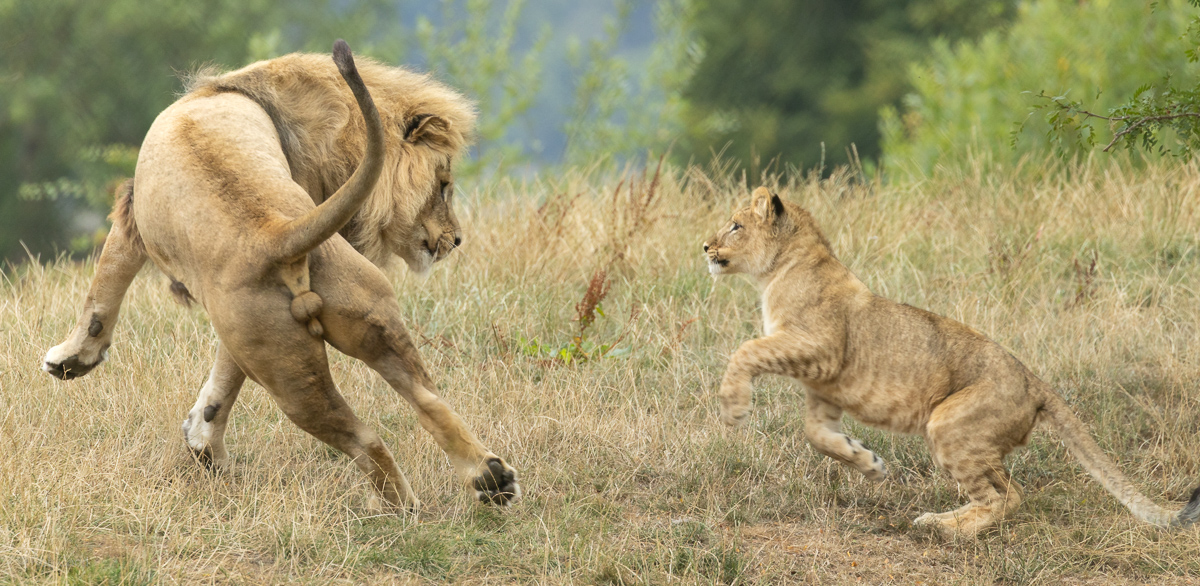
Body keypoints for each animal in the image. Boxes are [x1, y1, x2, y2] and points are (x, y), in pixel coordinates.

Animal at [41, 41, 520, 509]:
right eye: (443, 186)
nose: (457, 240)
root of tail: (276, 235)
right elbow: (225, 373)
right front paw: (203, 438)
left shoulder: (131, 214)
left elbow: (102, 293)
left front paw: (72, 360)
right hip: (357, 326)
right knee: (429, 402)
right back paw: (490, 478)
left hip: (289, 382)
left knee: (365, 439)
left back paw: (402, 506)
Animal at [703, 186, 1199, 536]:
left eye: (735, 226)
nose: (704, 247)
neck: (778, 271)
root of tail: (1035, 381)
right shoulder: (824, 389)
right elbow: (818, 436)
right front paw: (868, 463)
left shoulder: (822, 349)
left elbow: (746, 350)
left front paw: (733, 409)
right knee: (1009, 491)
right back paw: (942, 520)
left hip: (949, 424)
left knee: (1006, 496)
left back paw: (945, 529)